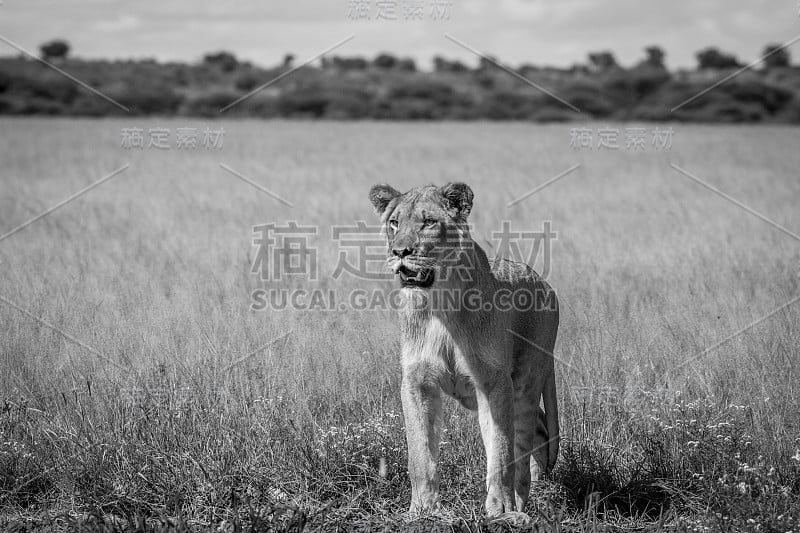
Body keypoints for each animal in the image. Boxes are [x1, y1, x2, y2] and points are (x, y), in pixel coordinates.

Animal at [368, 182, 560, 516]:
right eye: (394, 223)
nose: (399, 252)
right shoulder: (417, 381)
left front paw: (500, 509)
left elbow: (501, 452)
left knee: (524, 442)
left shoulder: (493, 382)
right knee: (539, 426)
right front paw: (421, 510)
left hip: (524, 382)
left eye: (429, 222)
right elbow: (419, 455)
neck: (440, 305)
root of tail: (546, 284)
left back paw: (522, 502)